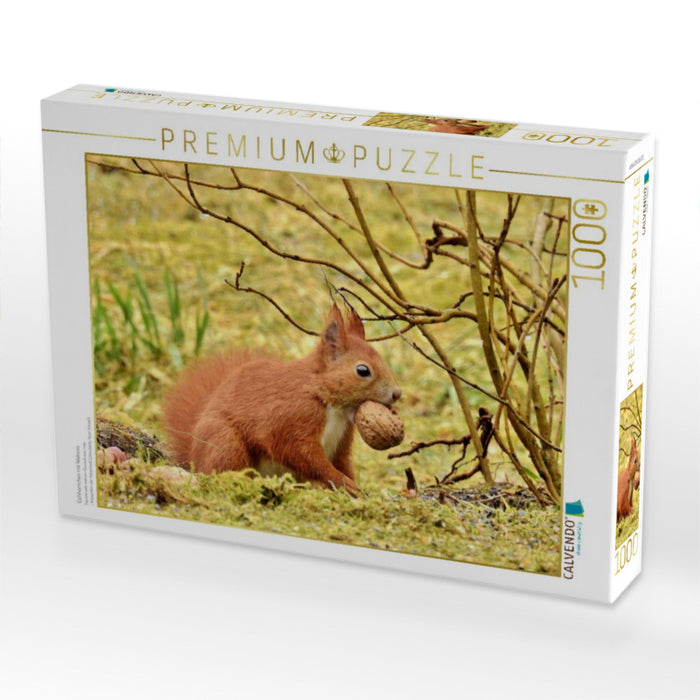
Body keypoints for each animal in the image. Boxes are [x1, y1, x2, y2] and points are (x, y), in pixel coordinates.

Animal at [162, 305, 401, 495]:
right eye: (363, 370)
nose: (397, 394)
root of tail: (194, 457)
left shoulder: (341, 441)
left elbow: (342, 463)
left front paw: (355, 486)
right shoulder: (292, 418)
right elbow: (301, 453)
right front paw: (342, 482)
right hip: (224, 442)